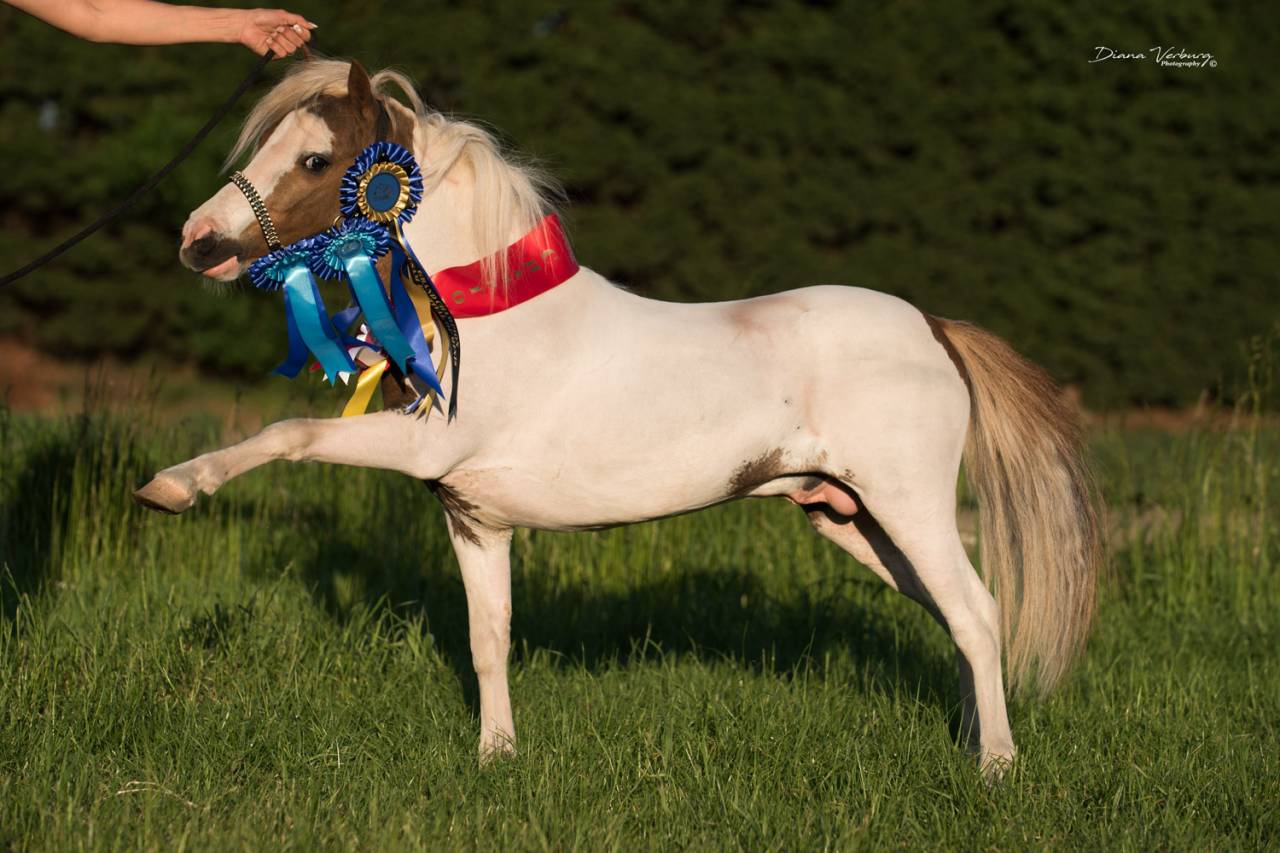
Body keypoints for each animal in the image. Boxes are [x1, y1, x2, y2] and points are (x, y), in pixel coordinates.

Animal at [135, 59, 1104, 775]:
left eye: (315, 159)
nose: (197, 243)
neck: (490, 316)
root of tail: (934, 327)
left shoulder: (419, 446)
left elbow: (290, 433)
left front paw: (172, 488)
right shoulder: (474, 517)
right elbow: (489, 639)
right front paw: (496, 758)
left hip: (909, 505)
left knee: (976, 611)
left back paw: (996, 767)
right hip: (851, 517)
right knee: (958, 618)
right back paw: (978, 742)